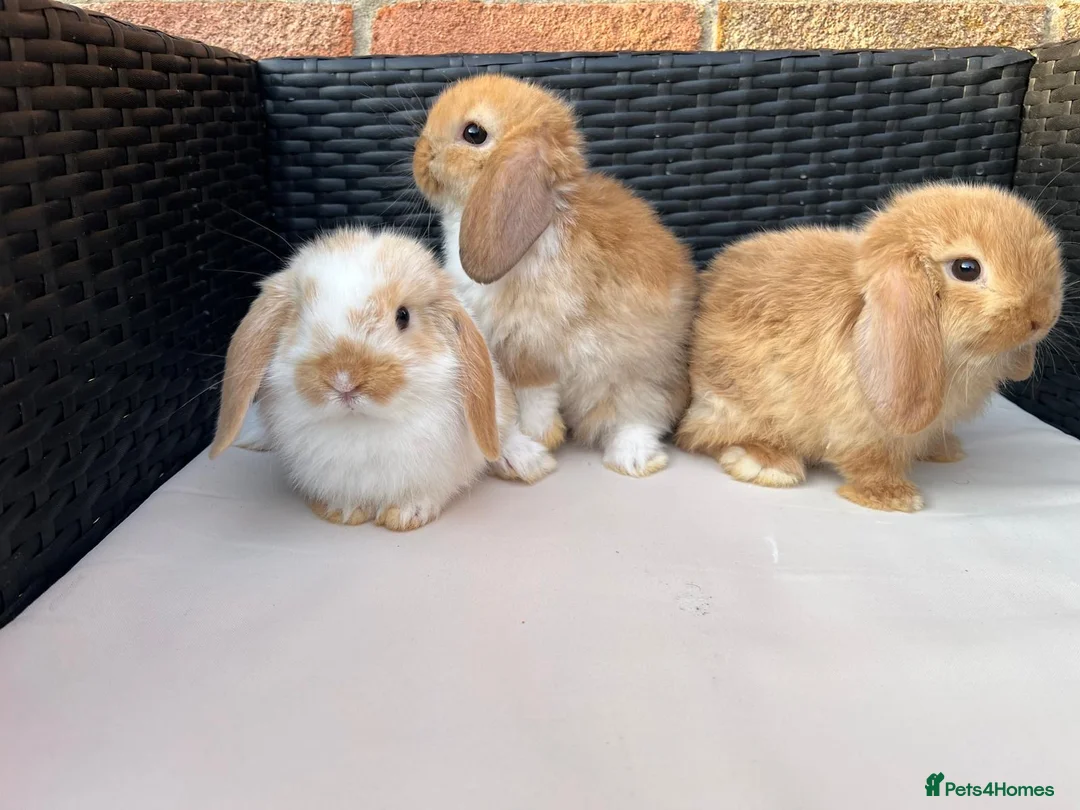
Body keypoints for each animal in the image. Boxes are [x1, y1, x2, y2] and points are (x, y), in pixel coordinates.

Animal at [209, 227, 556, 531]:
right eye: (301, 316)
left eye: (403, 316)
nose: (344, 379)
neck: (362, 424)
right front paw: (344, 511)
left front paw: (405, 514)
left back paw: (527, 461)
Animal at [413, 74, 697, 478]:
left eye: (473, 133)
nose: (420, 157)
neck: (550, 215)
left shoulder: (529, 345)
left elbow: (536, 393)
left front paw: (539, 435)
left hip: (642, 379)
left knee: (641, 419)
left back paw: (632, 459)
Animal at [676, 182, 1064, 512]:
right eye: (966, 268)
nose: (1042, 317)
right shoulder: (859, 429)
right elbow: (868, 461)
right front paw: (895, 498)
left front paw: (943, 450)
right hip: (730, 402)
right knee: (702, 434)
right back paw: (768, 463)